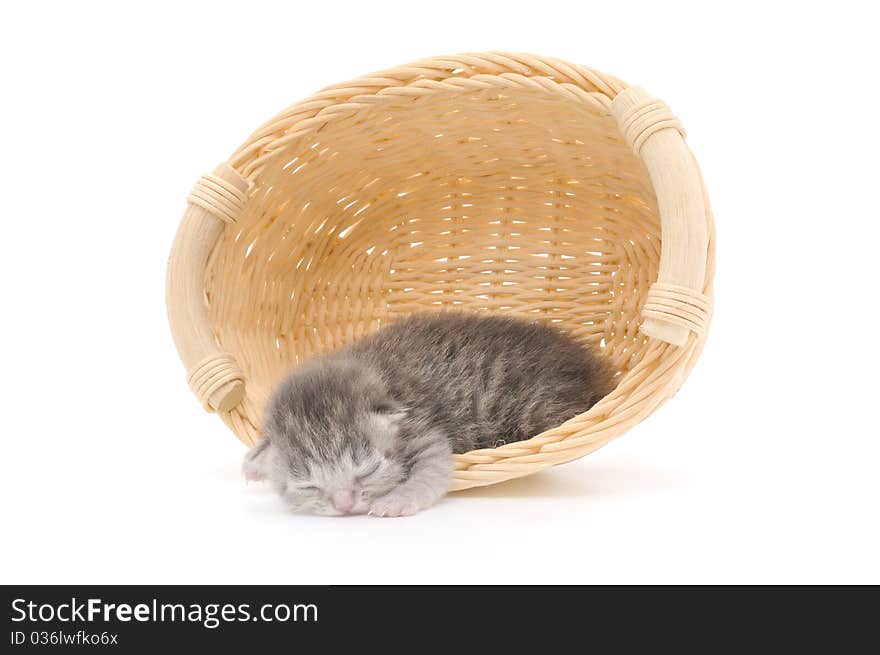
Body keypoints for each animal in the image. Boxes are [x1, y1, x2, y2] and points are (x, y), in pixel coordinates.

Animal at [241, 312, 612, 516]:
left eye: (367, 471)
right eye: (309, 486)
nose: (344, 506)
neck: (373, 367)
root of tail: (591, 368)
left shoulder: (421, 426)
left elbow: (432, 468)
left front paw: (397, 501)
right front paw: (253, 462)